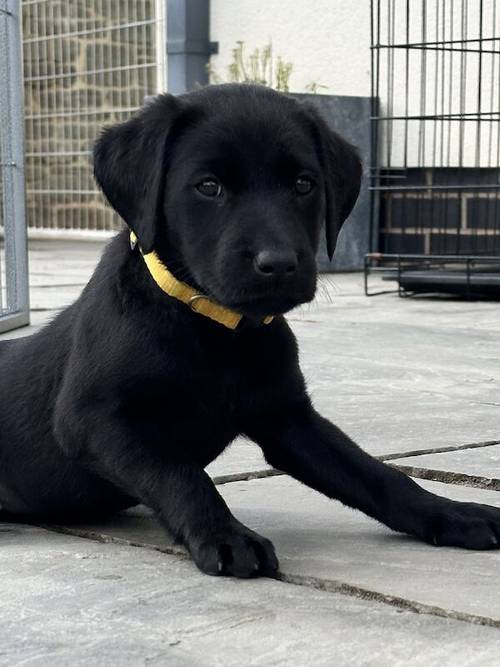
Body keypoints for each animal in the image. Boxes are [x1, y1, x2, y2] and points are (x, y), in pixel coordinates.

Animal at [0, 82, 500, 576]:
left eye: (304, 184)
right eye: (208, 186)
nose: (277, 264)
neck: (216, 328)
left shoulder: (288, 418)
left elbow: (377, 475)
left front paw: (453, 512)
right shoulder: (94, 419)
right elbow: (180, 473)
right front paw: (227, 536)